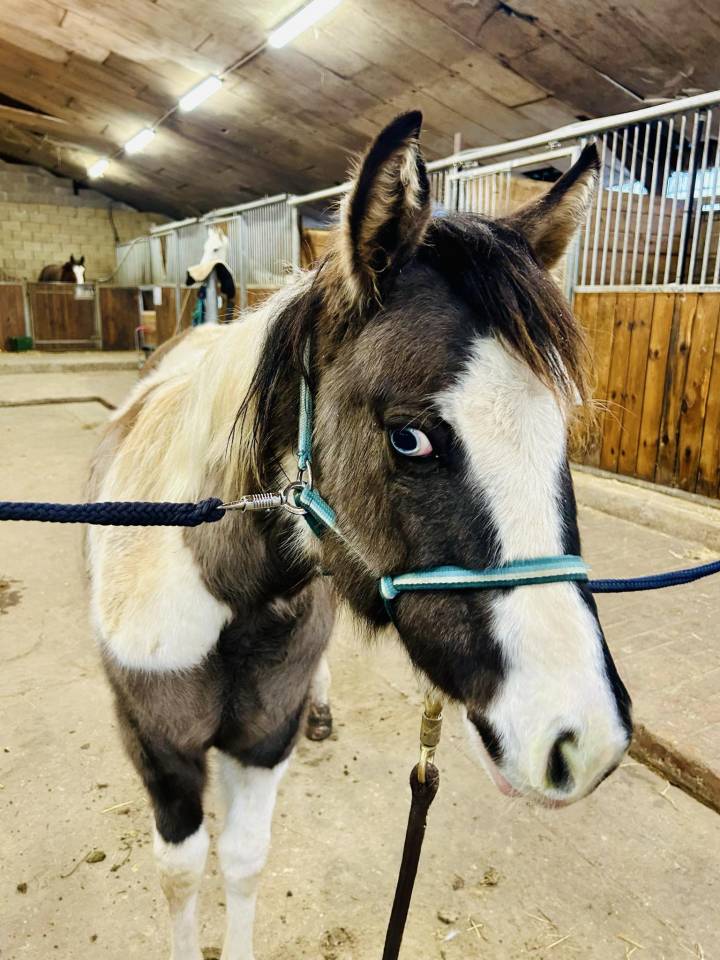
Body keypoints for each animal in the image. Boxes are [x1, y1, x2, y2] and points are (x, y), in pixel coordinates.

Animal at [86, 112, 632, 960]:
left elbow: (243, 860)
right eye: (410, 438)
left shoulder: (261, 742)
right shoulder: (159, 749)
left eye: (563, 429)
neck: (218, 591)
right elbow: (181, 874)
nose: (581, 740)